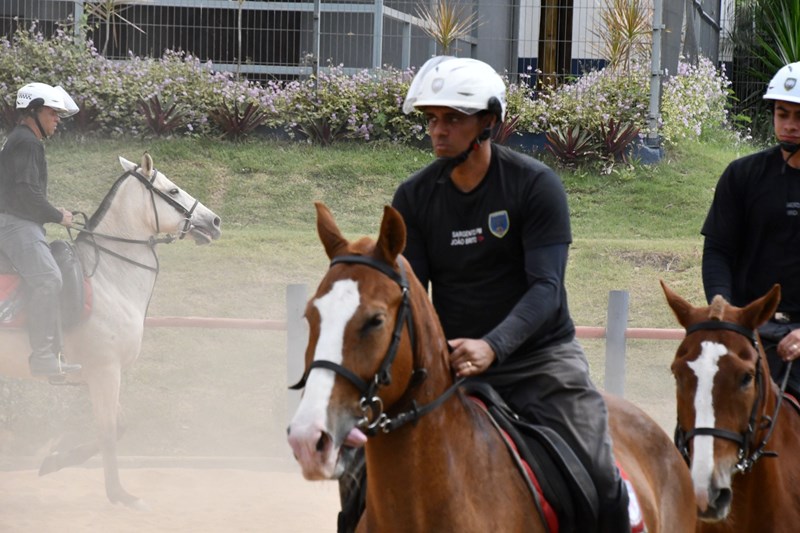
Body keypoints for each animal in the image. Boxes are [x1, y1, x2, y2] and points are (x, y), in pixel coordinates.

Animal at [0, 152, 220, 504]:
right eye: (173, 190)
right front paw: (120, 494)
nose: (214, 222)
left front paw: (54, 461)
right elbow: (107, 432)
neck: (110, 279)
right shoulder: (105, 371)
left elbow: (120, 426)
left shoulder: (103, 373)